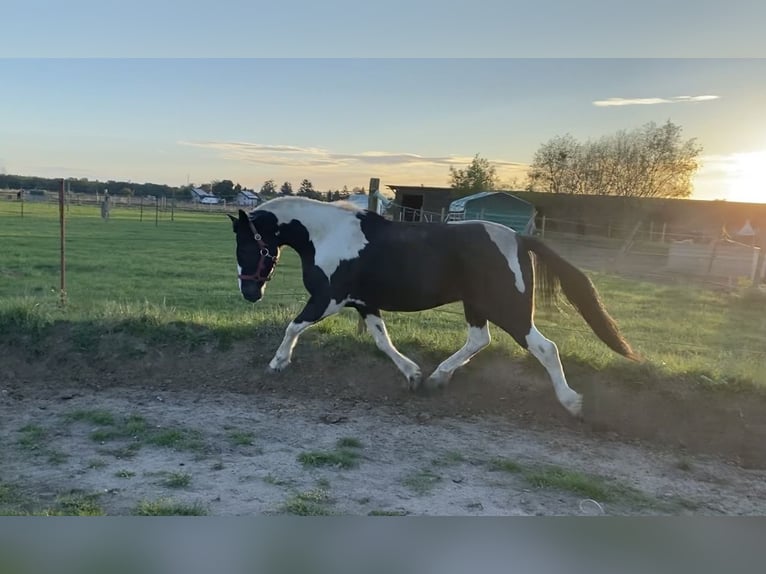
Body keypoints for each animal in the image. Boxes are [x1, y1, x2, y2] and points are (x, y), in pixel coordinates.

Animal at [230, 198, 640, 418]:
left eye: (248, 246)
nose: (250, 292)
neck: (327, 236)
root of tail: (518, 239)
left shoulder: (328, 298)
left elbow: (293, 326)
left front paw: (277, 363)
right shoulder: (365, 304)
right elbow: (382, 341)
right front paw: (413, 375)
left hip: (510, 310)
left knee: (545, 348)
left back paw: (572, 403)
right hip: (477, 306)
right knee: (479, 340)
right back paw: (439, 377)